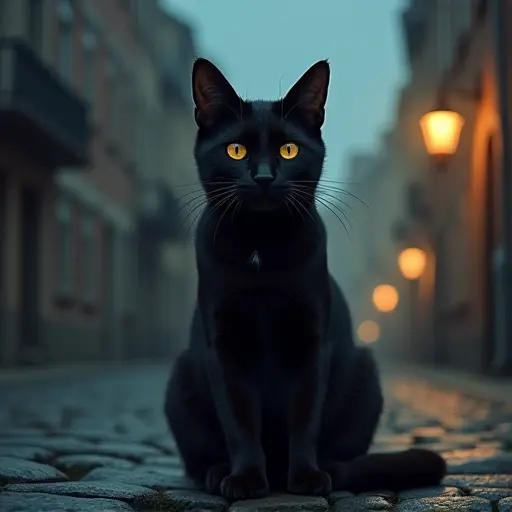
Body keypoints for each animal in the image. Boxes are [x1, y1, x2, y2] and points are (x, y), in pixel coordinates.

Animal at [164, 57, 444, 500]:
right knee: (201, 455)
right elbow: (239, 421)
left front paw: (307, 478)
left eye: (289, 149)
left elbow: (304, 416)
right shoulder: (224, 346)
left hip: (366, 374)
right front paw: (245, 479)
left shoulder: (312, 342)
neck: (261, 250)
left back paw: (324, 471)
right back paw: (217, 472)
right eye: (236, 150)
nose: (263, 176)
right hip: (180, 382)